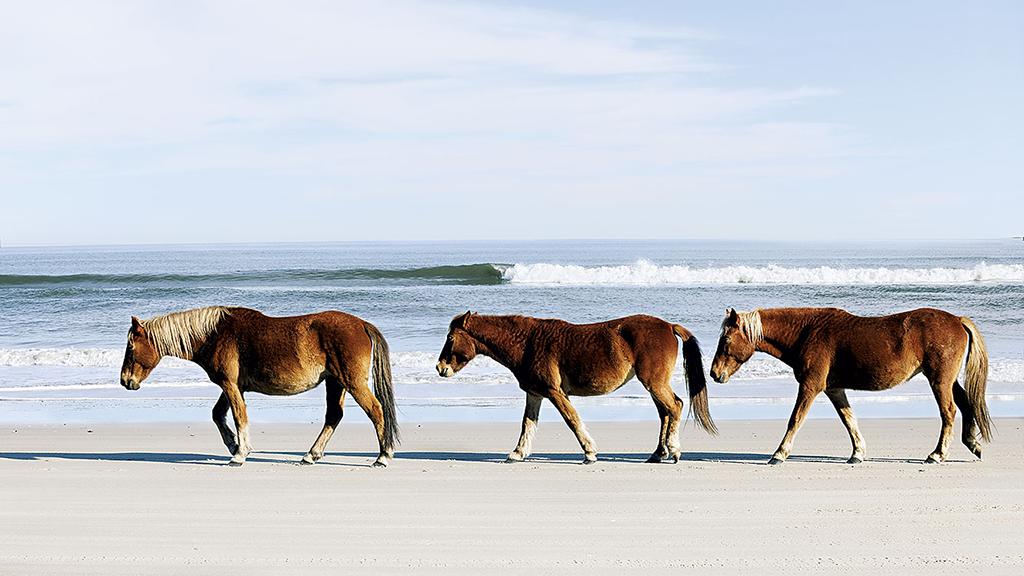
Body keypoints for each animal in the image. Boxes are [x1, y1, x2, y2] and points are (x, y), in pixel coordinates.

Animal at [116, 307, 395, 463]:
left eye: (131, 347)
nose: (125, 380)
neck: (214, 334)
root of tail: (362, 324)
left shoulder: (229, 385)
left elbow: (239, 416)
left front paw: (240, 454)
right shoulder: (233, 386)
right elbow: (218, 415)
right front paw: (233, 445)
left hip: (351, 382)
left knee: (376, 411)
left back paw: (383, 456)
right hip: (336, 383)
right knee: (334, 416)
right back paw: (311, 455)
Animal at [436, 309, 716, 461]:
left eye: (450, 338)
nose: (440, 368)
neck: (527, 343)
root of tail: (669, 326)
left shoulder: (554, 392)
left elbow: (572, 420)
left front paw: (590, 452)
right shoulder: (535, 393)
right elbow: (527, 424)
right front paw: (517, 453)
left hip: (654, 382)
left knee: (675, 407)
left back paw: (673, 449)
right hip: (653, 384)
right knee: (665, 413)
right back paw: (658, 453)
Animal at [708, 307, 987, 463]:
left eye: (726, 339)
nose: (713, 373)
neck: (808, 332)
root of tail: (957, 319)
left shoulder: (810, 386)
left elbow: (795, 419)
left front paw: (779, 454)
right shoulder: (834, 389)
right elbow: (849, 420)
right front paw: (858, 453)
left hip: (939, 379)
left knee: (948, 412)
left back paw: (937, 454)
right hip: (947, 380)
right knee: (965, 404)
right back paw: (972, 444)